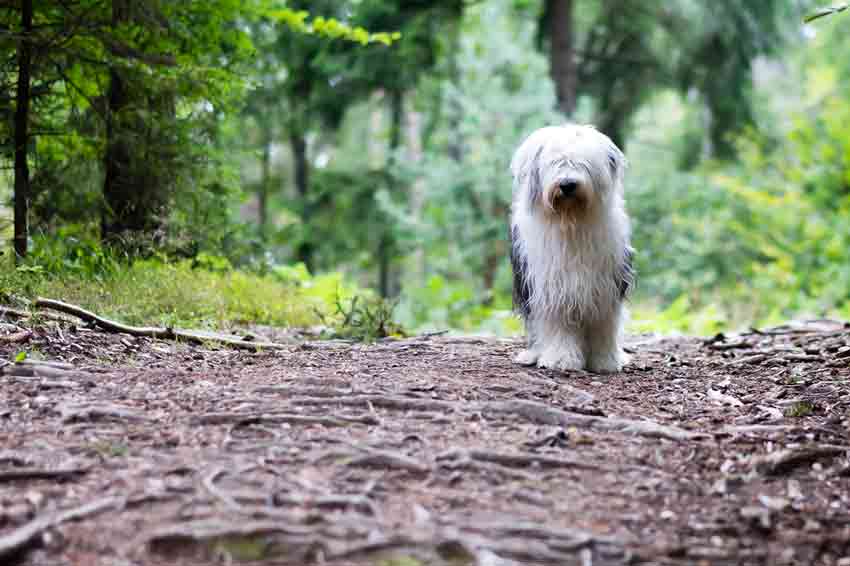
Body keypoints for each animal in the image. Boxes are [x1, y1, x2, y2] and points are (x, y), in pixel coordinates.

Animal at [506, 125, 632, 374]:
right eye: (556, 162)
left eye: (583, 163)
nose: (567, 185)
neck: (571, 221)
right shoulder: (551, 288)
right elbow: (558, 324)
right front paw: (560, 359)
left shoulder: (605, 287)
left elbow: (603, 326)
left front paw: (605, 361)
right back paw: (532, 354)